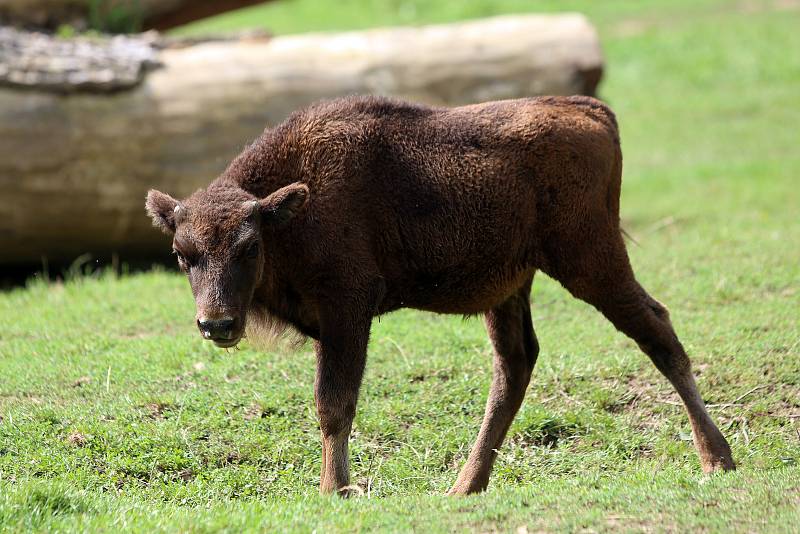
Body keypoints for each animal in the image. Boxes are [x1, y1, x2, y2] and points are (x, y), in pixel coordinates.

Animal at [147, 95, 736, 498]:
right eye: (181, 253)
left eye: (249, 246)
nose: (217, 324)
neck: (291, 209)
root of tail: (587, 109)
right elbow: (331, 403)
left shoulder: (346, 310)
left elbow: (334, 403)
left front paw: (335, 491)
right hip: (512, 287)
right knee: (515, 366)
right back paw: (465, 486)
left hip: (589, 261)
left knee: (656, 330)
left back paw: (717, 460)